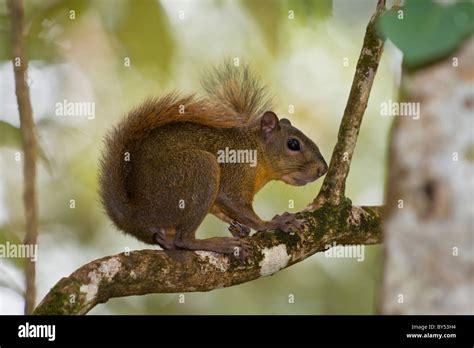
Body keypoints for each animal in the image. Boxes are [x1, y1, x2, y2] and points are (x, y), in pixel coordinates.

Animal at [98, 61, 328, 260]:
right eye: (293, 144)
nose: (323, 169)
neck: (255, 150)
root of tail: (133, 217)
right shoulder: (235, 174)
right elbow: (236, 204)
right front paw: (272, 223)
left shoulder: (220, 198)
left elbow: (223, 209)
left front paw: (239, 227)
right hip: (198, 169)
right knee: (184, 239)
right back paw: (219, 244)